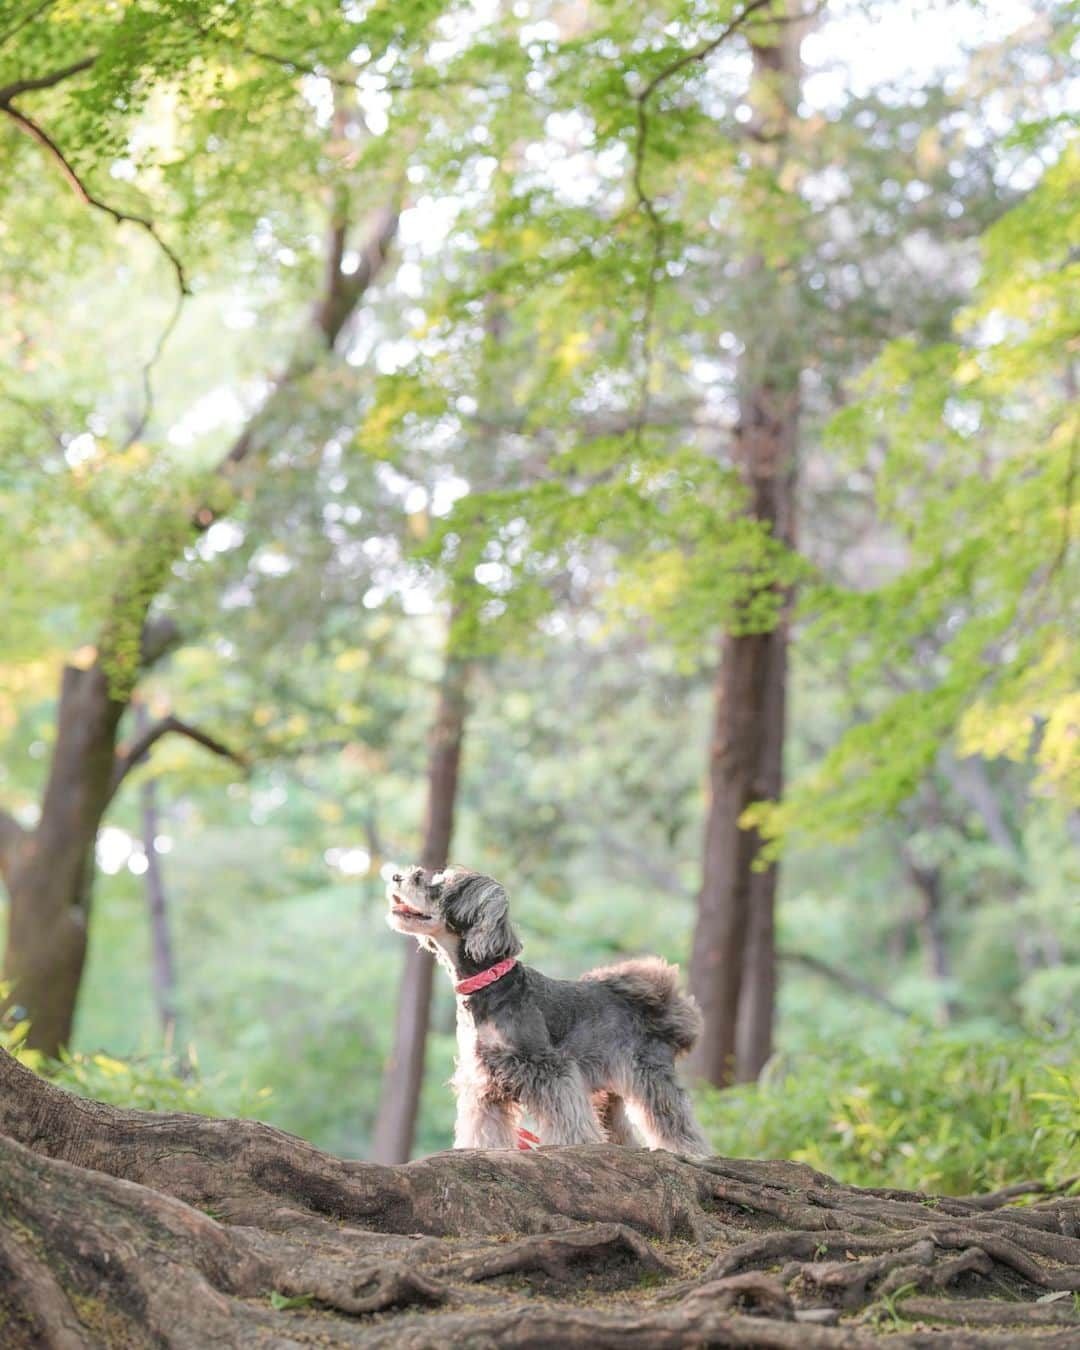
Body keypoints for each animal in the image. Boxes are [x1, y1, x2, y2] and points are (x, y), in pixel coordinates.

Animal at [386, 869, 707, 1155]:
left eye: (437, 886)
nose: (396, 876)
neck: (490, 982)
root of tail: (660, 1009)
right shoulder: (482, 1082)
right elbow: (483, 1127)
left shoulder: (548, 1068)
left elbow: (566, 1117)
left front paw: (574, 1145)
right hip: (607, 1091)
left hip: (650, 1076)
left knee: (675, 1119)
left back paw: (692, 1153)